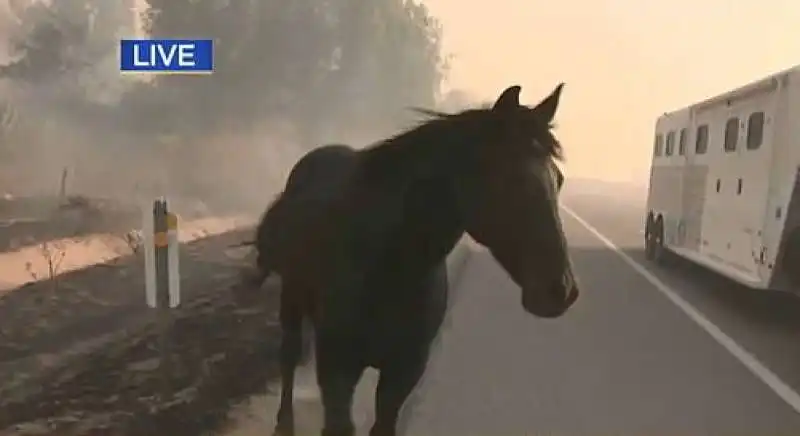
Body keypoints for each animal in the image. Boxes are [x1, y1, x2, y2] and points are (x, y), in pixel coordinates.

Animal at [247, 83, 580, 434]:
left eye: (558, 179)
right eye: (511, 180)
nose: (561, 290)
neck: (389, 264)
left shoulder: (403, 373)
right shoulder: (337, 370)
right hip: (291, 300)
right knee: (288, 356)